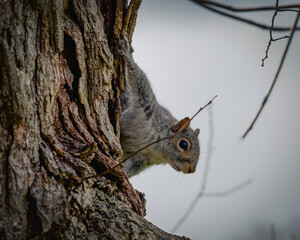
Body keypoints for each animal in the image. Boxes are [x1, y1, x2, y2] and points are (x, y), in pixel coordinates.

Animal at [116, 36, 199, 177]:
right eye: (183, 144)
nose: (191, 170)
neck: (155, 149)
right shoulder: (147, 106)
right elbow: (140, 80)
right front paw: (128, 55)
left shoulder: (139, 160)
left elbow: (129, 167)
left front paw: (123, 174)